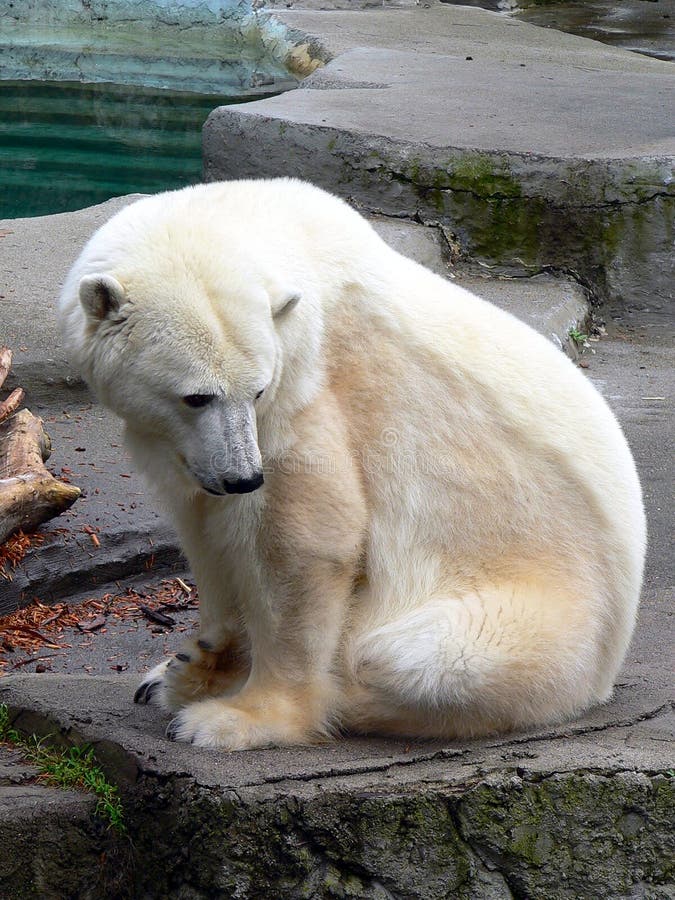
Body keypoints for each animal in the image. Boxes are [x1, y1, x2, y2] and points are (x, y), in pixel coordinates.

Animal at [58, 178, 646, 750]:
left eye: (257, 390)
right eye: (196, 397)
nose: (243, 477)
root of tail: (606, 669)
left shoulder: (305, 393)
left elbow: (303, 540)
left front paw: (236, 716)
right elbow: (204, 529)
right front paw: (193, 661)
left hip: (536, 609)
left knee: (414, 660)